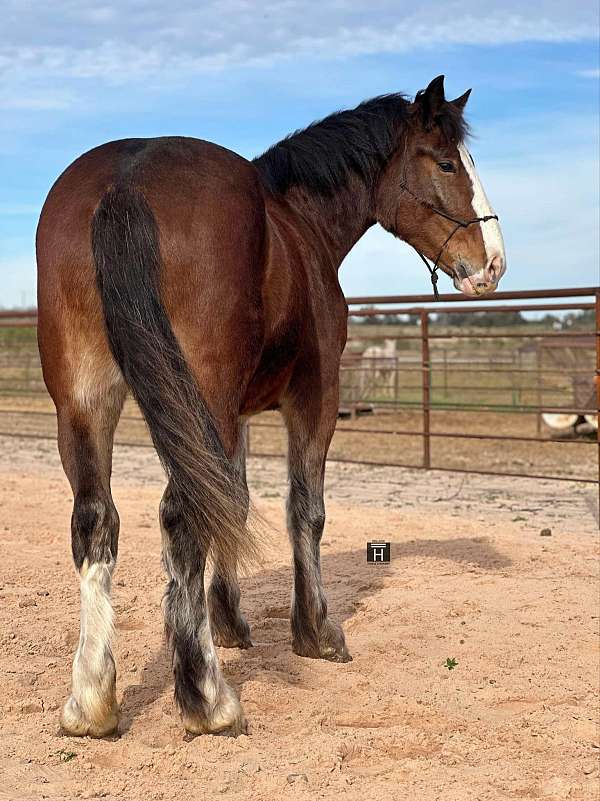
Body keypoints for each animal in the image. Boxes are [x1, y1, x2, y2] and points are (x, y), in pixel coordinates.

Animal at [36, 75, 506, 736]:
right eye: (445, 162)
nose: (493, 262)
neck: (298, 224)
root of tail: (125, 182)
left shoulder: (229, 418)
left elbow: (231, 501)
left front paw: (230, 622)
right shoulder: (314, 397)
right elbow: (303, 509)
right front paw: (315, 632)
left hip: (87, 400)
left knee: (97, 520)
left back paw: (92, 702)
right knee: (180, 518)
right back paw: (208, 699)